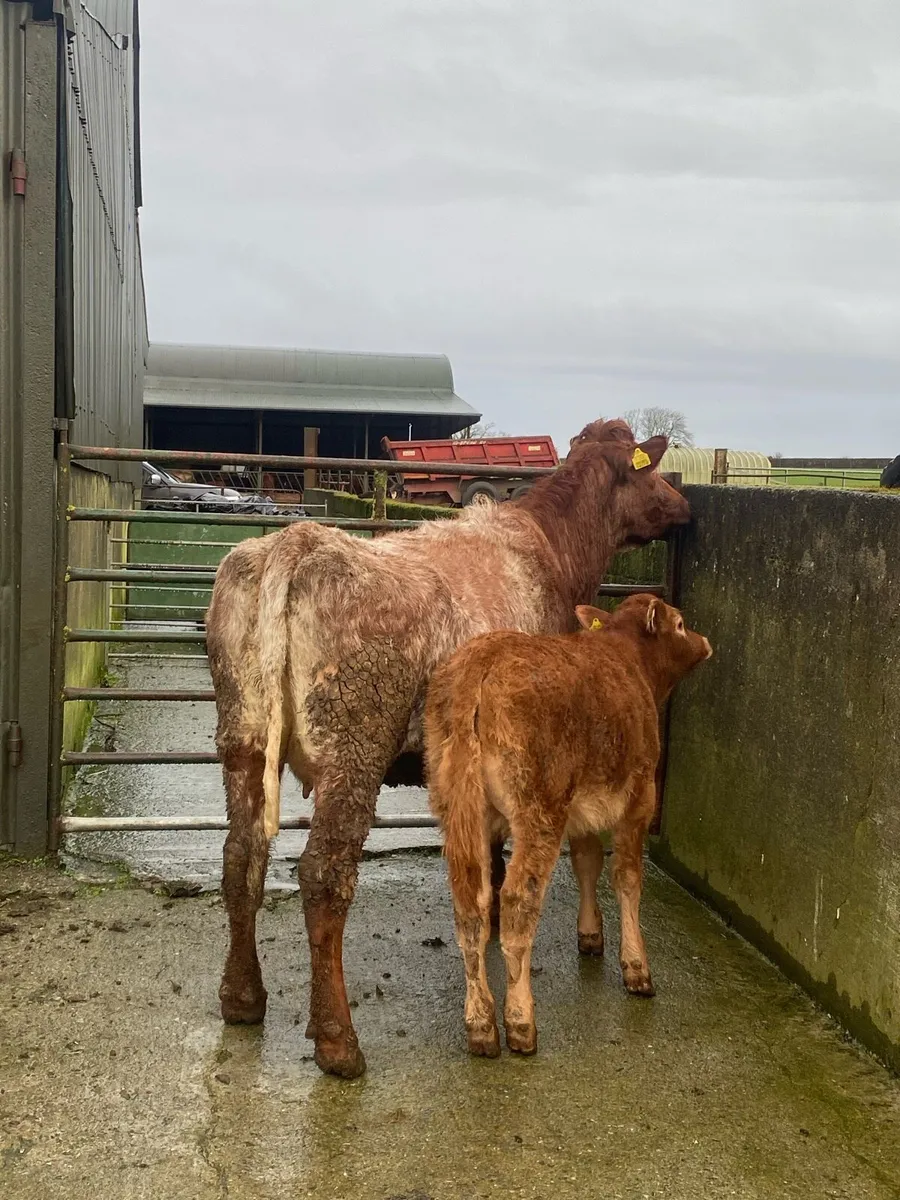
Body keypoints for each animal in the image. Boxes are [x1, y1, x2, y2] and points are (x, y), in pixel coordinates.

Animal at [424, 594, 712, 1059]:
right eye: (681, 624)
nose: (704, 641)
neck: (629, 659)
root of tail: (480, 662)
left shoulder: (584, 809)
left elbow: (587, 862)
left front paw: (591, 934)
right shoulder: (640, 796)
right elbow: (627, 877)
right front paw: (636, 967)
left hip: (459, 808)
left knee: (472, 908)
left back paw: (481, 1025)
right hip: (540, 810)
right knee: (517, 900)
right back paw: (520, 1022)